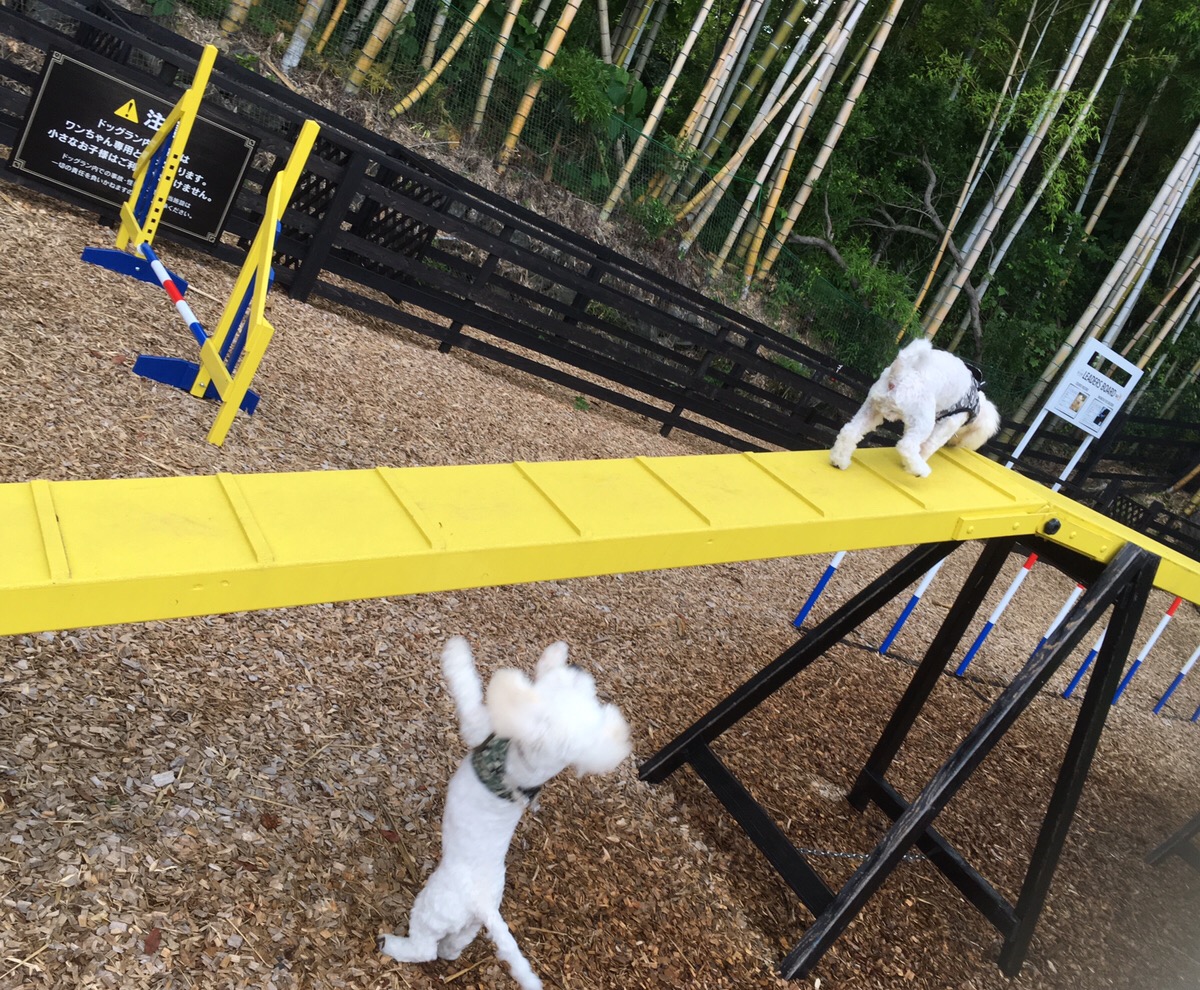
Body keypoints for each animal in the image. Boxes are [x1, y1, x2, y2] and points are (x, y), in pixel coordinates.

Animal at [379, 638, 633, 984]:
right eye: (579, 688)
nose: (579, 667)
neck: (524, 772)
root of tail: (482, 904)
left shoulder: (479, 728)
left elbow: (469, 689)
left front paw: (456, 654)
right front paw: (554, 655)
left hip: (431, 909)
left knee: (424, 949)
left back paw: (390, 943)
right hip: (469, 926)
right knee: (452, 947)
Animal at [825, 338, 1003, 477]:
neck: (977, 402)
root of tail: (901, 374)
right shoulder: (949, 423)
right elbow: (929, 446)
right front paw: (915, 462)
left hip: (872, 409)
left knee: (850, 431)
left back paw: (839, 461)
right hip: (923, 420)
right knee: (907, 445)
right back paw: (920, 469)